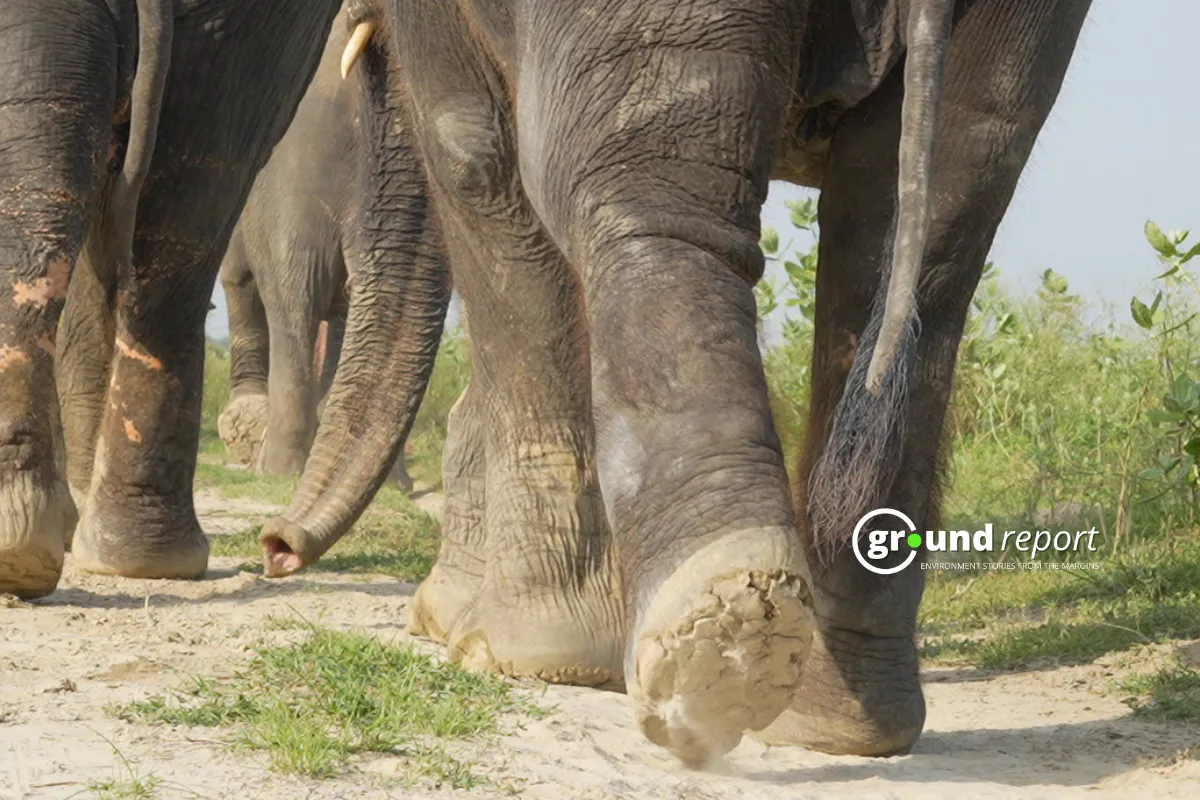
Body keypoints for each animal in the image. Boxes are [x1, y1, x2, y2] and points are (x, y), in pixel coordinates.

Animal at [258, 0, 1094, 767]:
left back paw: (718, 641)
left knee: (625, 193)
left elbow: (475, 157)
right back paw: (823, 713)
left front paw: (522, 654)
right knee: (926, 234)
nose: (275, 549)